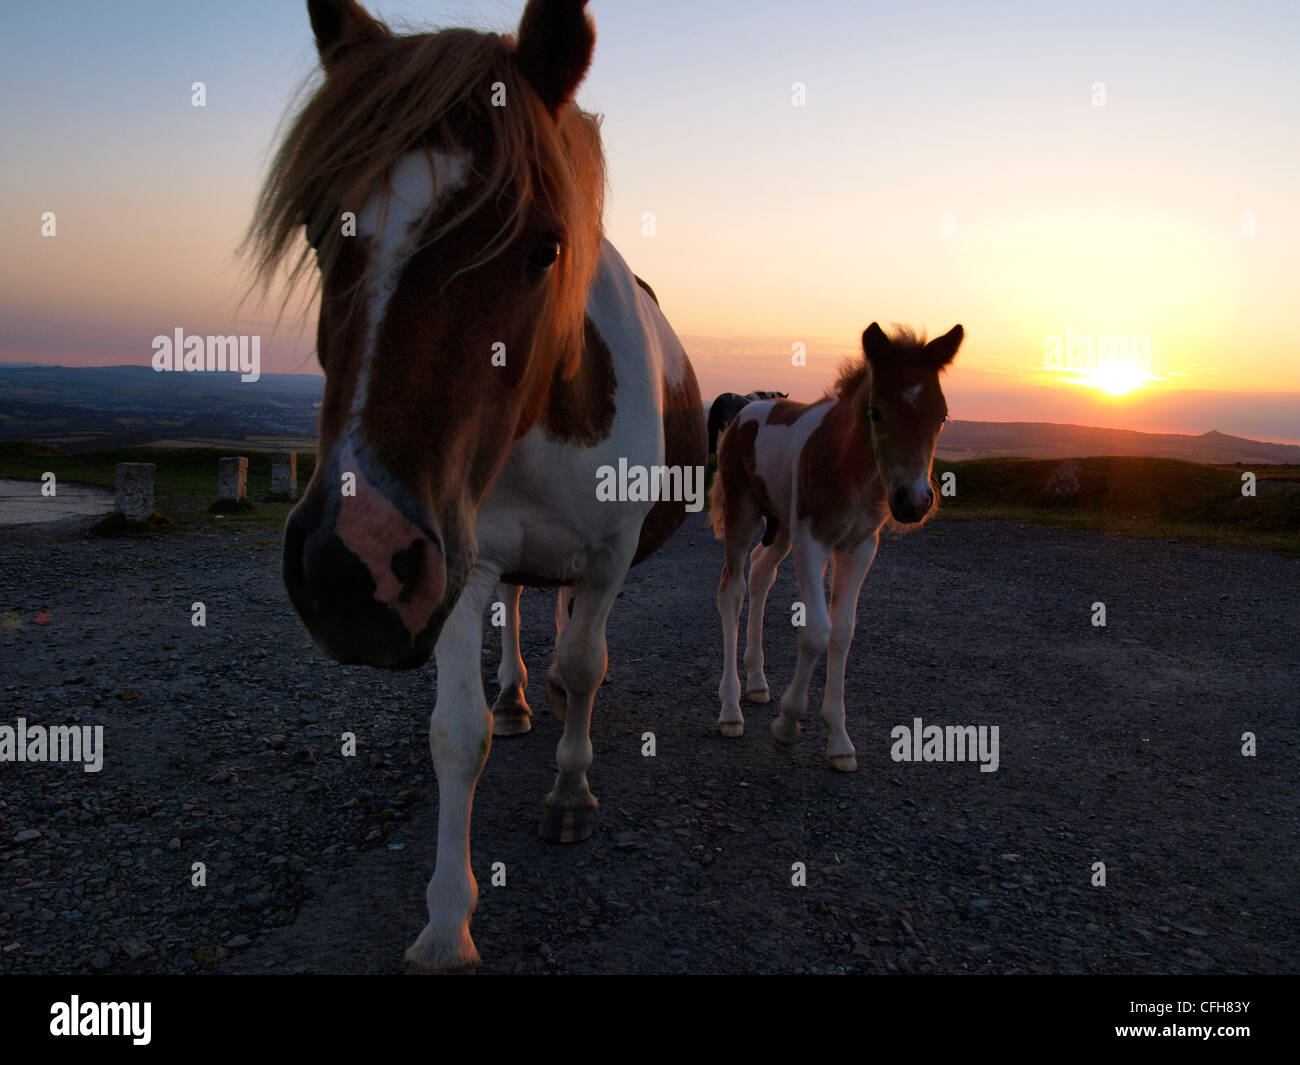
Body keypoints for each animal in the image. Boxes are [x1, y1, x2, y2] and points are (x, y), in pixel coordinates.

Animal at [249, 0, 707, 972]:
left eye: (544, 246)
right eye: (319, 228)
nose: (351, 566)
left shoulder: (605, 555)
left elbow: (586, 660)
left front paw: (570, 793)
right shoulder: (452, 559)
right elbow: (457, 734)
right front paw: (446, 920)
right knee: (523, 613)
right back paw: (520, 695)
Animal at [712, 321, 956, 769]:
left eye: (942, 415)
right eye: (876, 412)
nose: (913, 502)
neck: (850, 468)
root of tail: (744, 413)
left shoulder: (859, 548)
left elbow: (842, 631)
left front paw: (839, 741)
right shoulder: (813, 542)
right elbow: (817, 630)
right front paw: (787, 725)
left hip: (782, 526)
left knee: (761, 572)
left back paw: (757, 681)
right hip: (744, 510)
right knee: (732, 589)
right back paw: (731, 708)